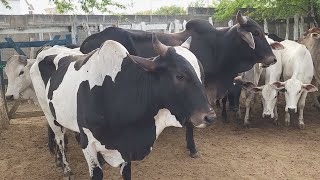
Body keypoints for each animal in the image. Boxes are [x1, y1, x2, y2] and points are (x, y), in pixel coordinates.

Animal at [30, 34, 215, 180]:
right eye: (180, 76)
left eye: (202, 75)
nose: (210, 116)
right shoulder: (88, 143)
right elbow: (96, 173)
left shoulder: (127, 146)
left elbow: (126, 173)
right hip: (48, 112)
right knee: (59, 138)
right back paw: (65, 166)